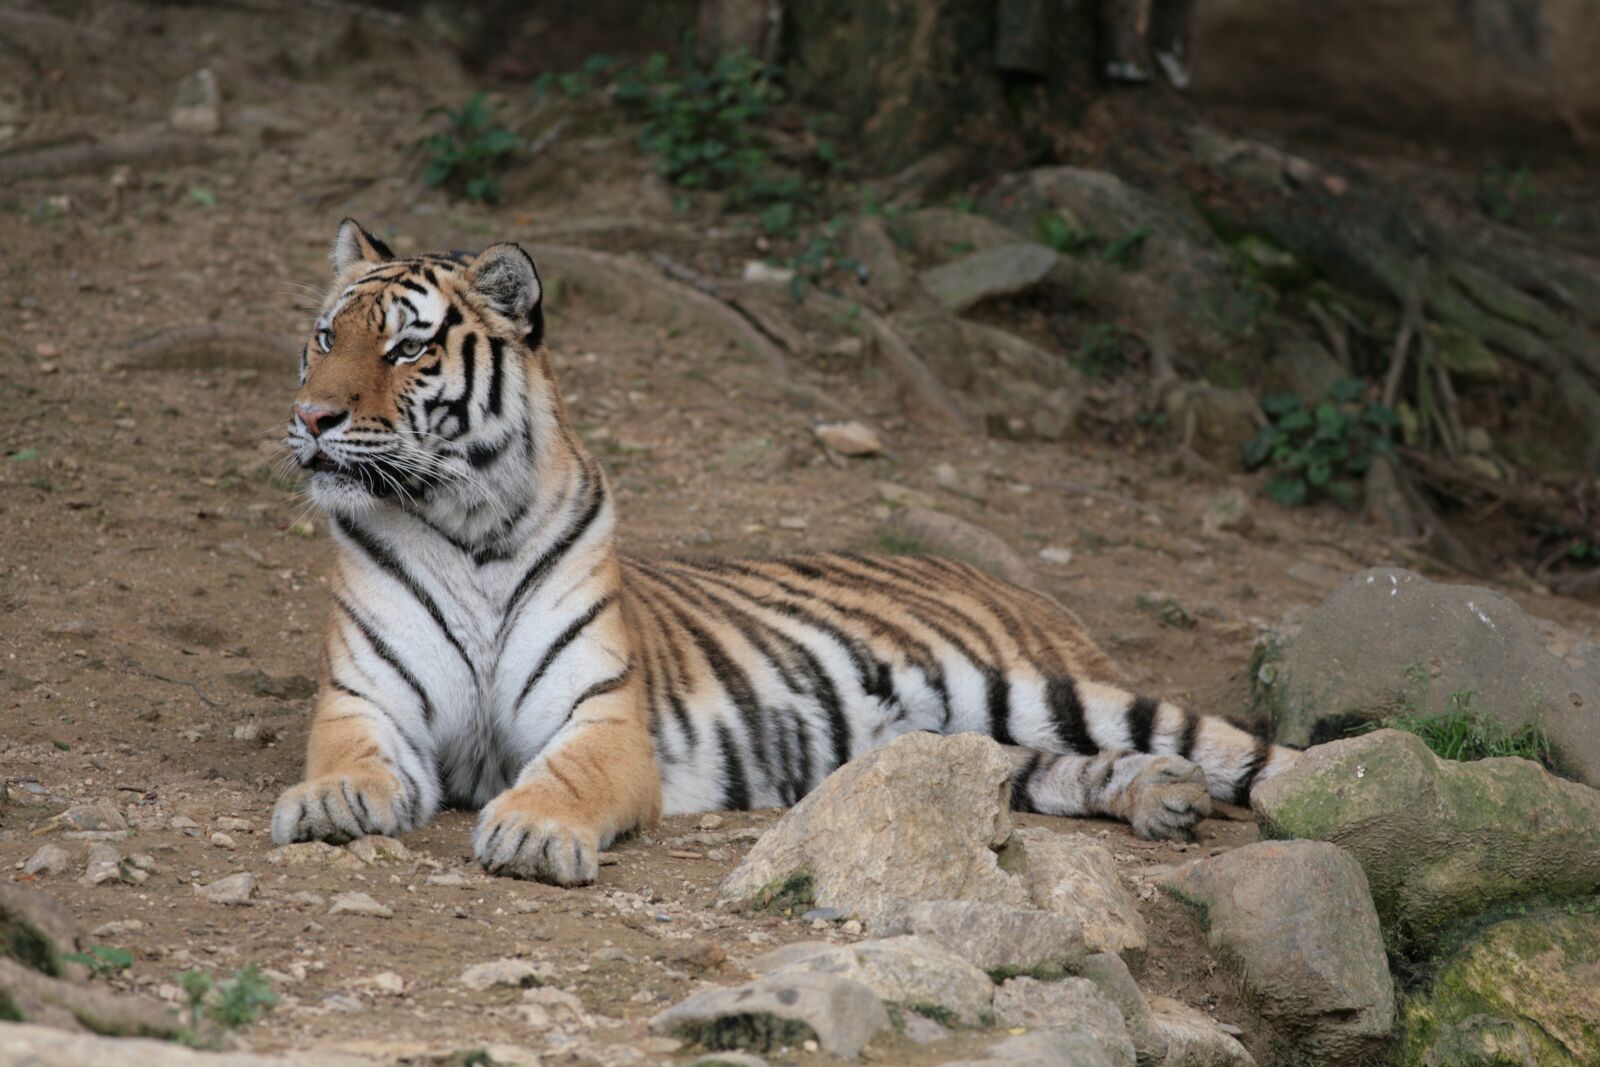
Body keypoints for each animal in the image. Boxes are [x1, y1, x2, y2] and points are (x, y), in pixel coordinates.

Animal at [270, 219, 1301, 886]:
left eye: (406, 351)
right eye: (324, 337)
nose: (310, 417)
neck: (467, 525)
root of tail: (1027, 589)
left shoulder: (601, 719)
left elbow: (566, 775)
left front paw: (530, 830)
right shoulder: (367, 699)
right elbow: (351, 756)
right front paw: (328, 801)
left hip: (1045, 686)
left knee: (1234, 747)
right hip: (966, 736)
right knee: (1040, 770)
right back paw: (1165, 797)